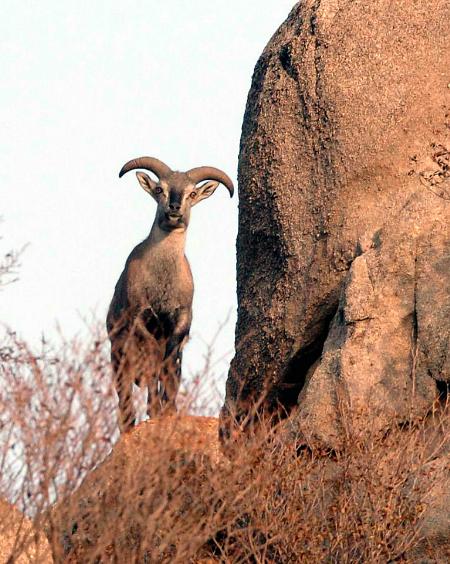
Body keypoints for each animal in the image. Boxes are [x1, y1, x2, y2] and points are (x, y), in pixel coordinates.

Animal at [107, 156, 234, 430]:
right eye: (159, 189)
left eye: (192, 193)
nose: (174, 209)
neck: (163, 280)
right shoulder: (139, 316)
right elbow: (155, 360)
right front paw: (156, 408)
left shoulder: (181, 319)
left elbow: (170, 365)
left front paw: (168, 409)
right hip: (118, 357)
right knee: (126, 399)